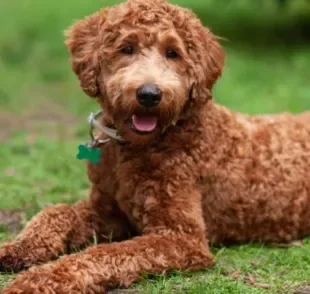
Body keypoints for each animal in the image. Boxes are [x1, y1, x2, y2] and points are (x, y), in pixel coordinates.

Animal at [0, 0, 310, 292]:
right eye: (126, 48)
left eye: (173, 53)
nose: (149, 94)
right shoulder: (108, 212)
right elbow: (57, 211)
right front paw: (15, 249)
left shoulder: (180, 237)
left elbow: (104, 253)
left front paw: (39, 279)